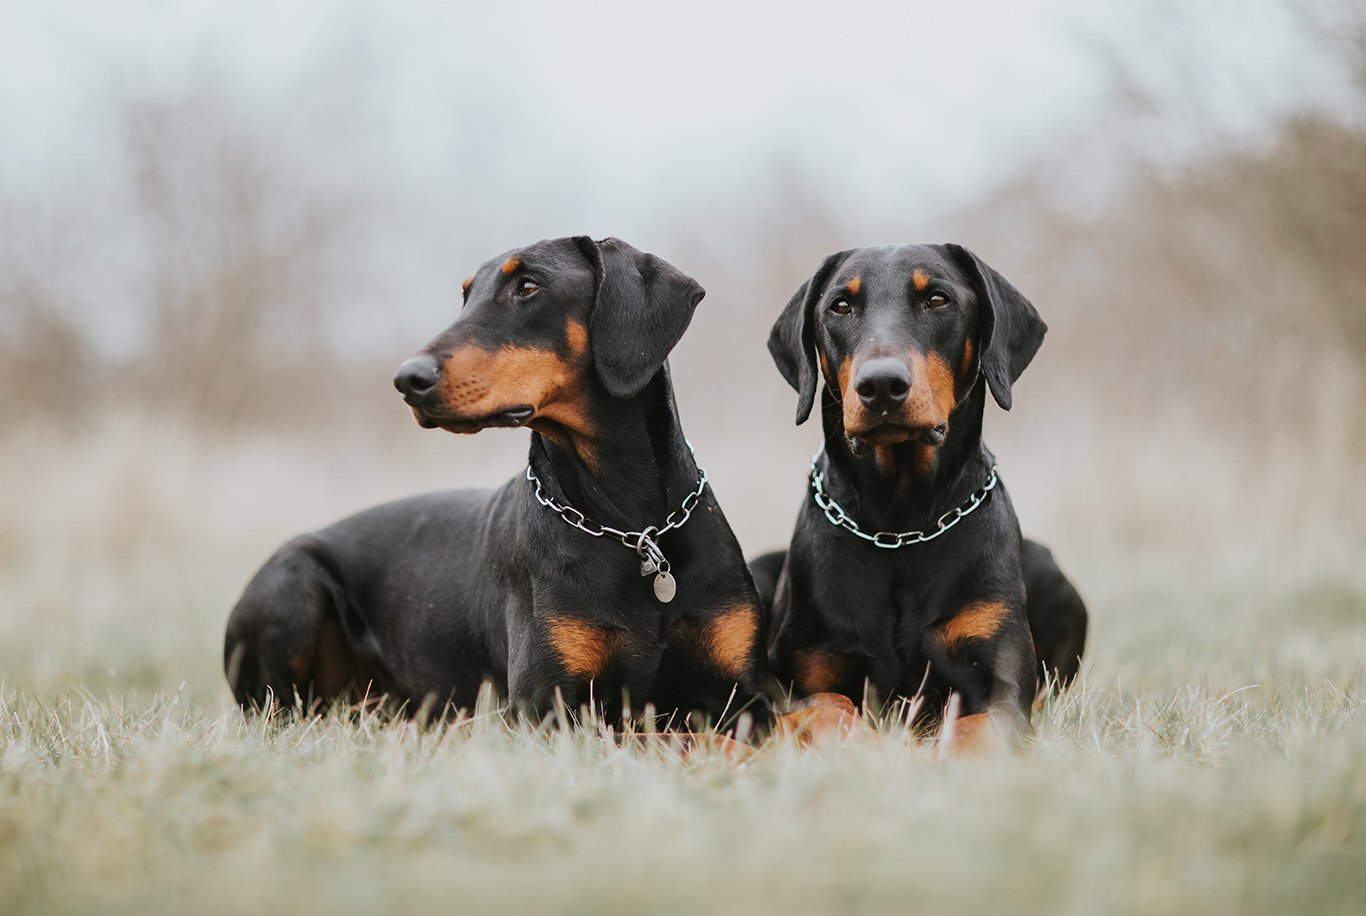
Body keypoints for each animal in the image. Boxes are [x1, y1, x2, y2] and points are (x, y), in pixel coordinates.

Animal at [226, 238, 819, 737]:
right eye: (466, 295)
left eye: (528, 286)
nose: (406, 380)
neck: (634, 526)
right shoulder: (548, 708)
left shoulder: (742, 691)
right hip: (292, 580)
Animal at [759, 242, 1087, 753]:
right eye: (840, 306)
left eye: (937, 299)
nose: (881, 385)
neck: (901, 523)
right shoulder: (795, 680)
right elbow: (827, 707)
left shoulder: (1000, 691)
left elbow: (976, 728)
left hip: (1046, 567)